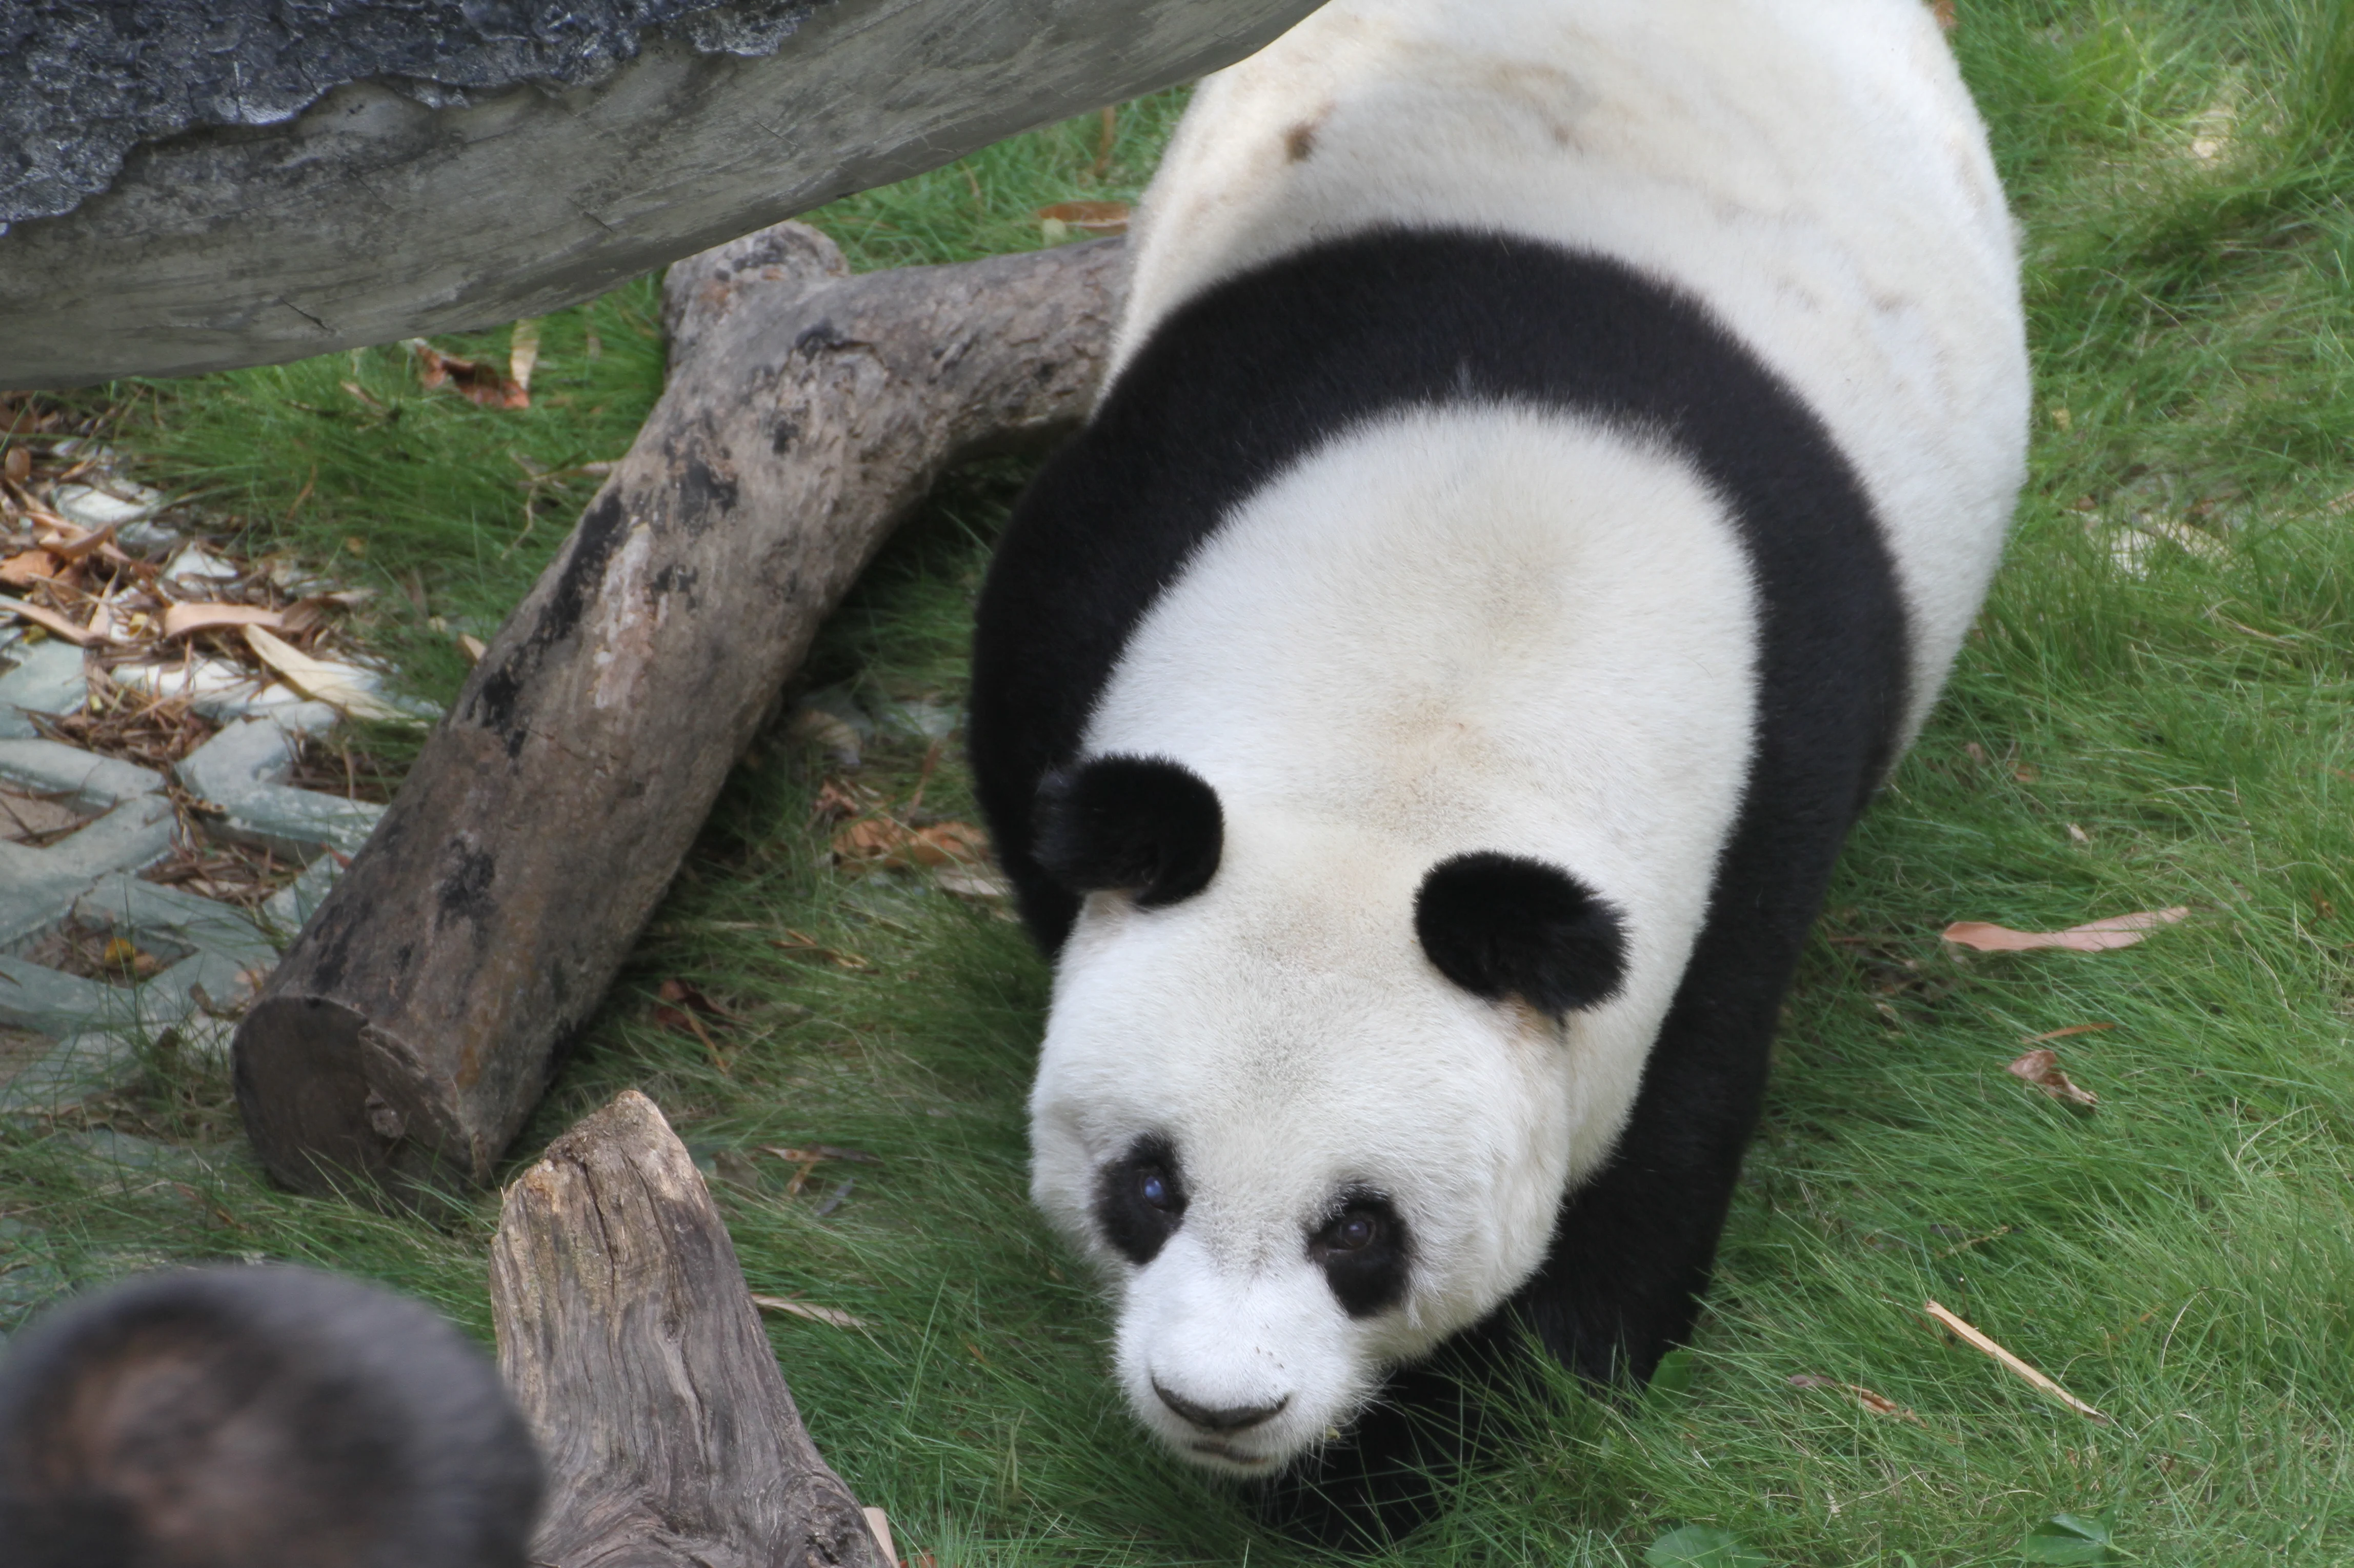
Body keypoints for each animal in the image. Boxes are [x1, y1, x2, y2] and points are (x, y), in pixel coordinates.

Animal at [965, 0, 2026, 1537]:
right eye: (1147, 1182)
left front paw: (1374, 1465)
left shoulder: (1758, 797)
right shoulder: (1136, 518)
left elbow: (1647, 1167)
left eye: (1359, 1229)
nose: (1217, 1404)